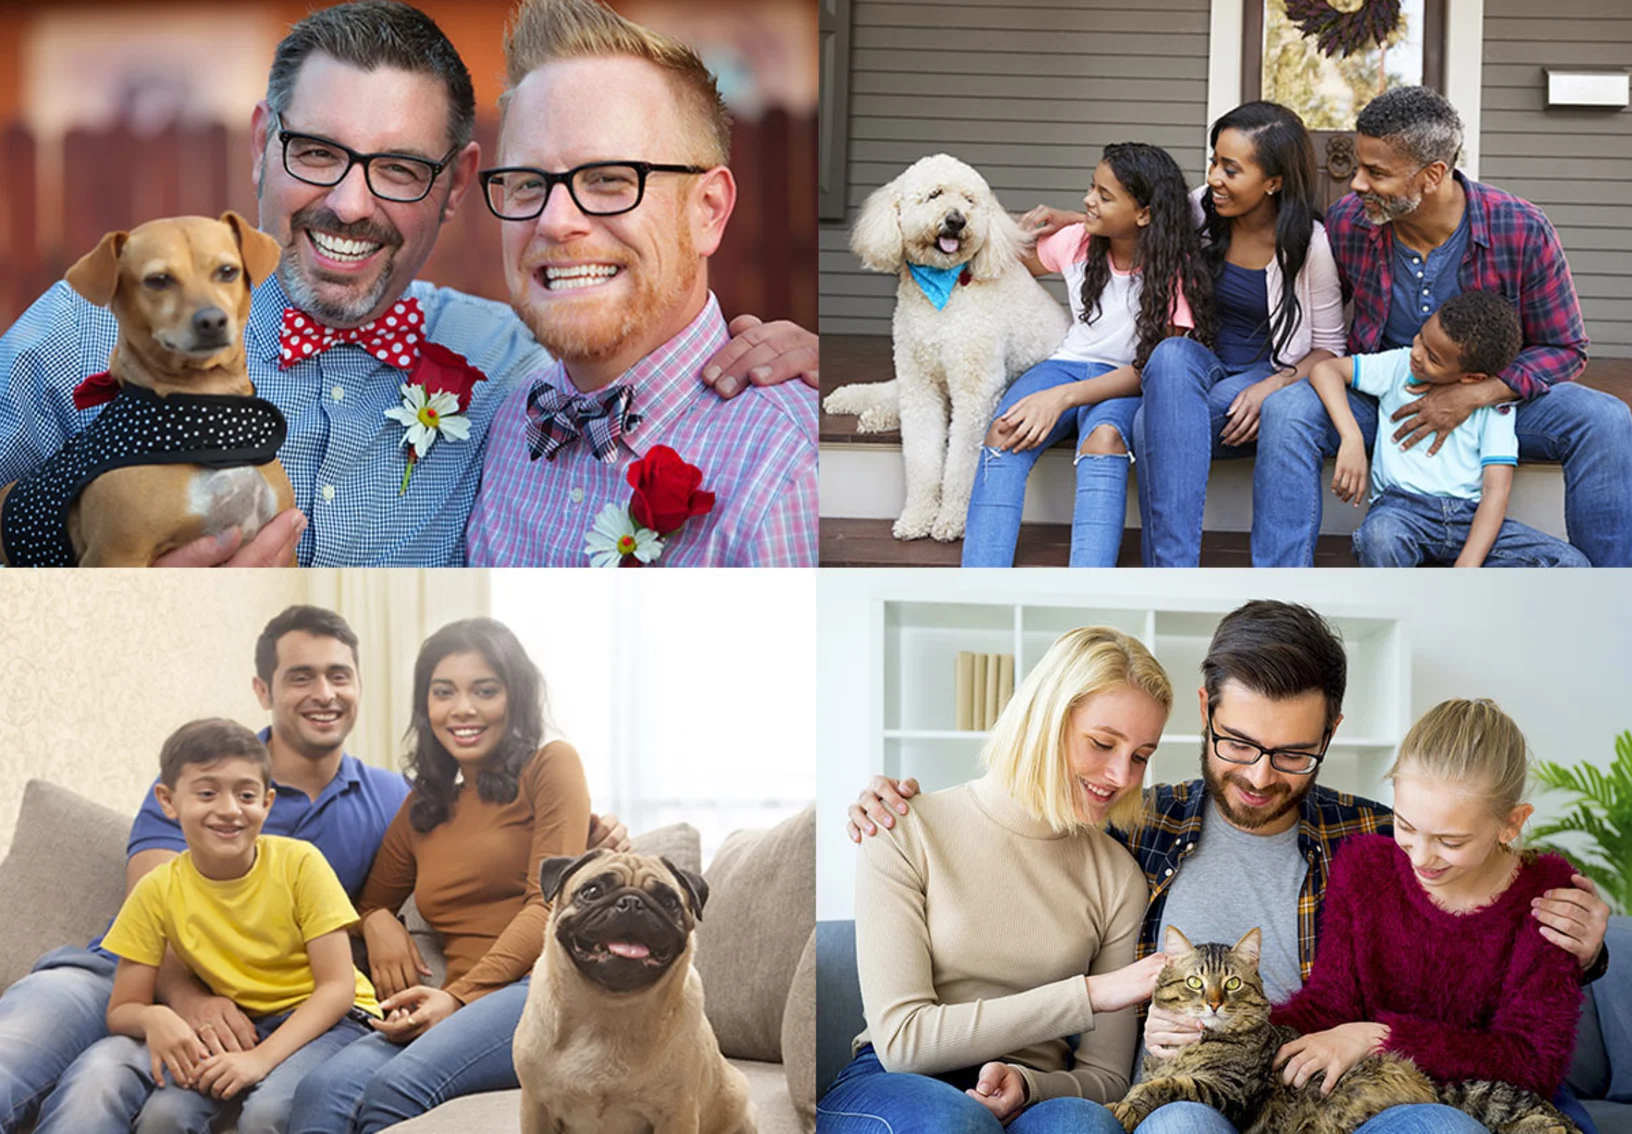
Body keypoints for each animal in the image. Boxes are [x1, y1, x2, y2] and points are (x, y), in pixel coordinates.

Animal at [515, 848, 757, 1134]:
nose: (631, 902)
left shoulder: (677, 1114)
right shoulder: (536, 1106)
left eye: (669, 902)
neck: (607, 1010)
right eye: (592, 891)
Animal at [829, 154, 1070, 541]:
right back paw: (857, 406)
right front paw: (916, 517)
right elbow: (921, 456)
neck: (945, 289)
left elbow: (961, 464)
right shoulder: (919, 381)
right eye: (934, 194)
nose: (956, 220)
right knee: (888, 392)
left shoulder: (975, 391)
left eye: (970, 201)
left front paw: (950, 519)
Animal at [1109, 933, 1579, 1134]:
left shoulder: (1230, 1092)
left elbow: (1164, 1086)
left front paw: (1126, 1107)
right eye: (1195, 982)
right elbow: (1153, 1081)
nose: (1213, 1003)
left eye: (1232, 984)